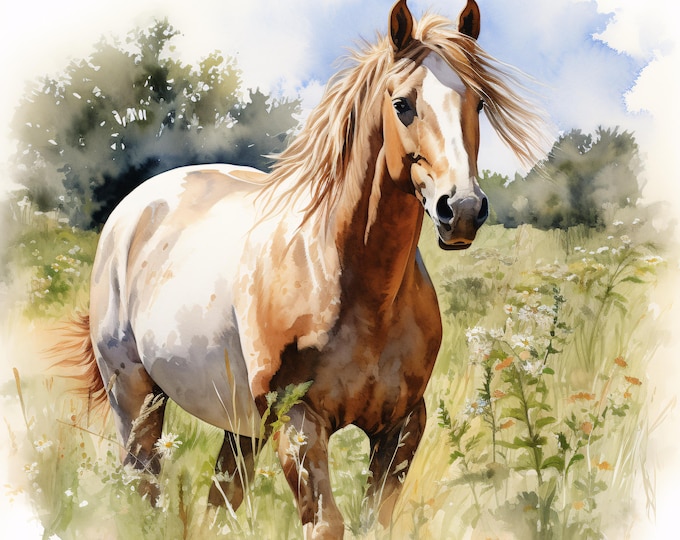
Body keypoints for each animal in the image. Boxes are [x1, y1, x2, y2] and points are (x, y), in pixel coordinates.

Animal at [59, 1, 544, 537]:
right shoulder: (297, 421)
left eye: (477, 104)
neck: (353, 285)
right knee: (144, 488)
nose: (461, 210)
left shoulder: (401, 428)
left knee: (219, 501)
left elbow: (375, 522)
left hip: (239, 427)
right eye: (402, 104)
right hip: (137, 400)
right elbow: (326, 522)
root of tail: (136, 205)